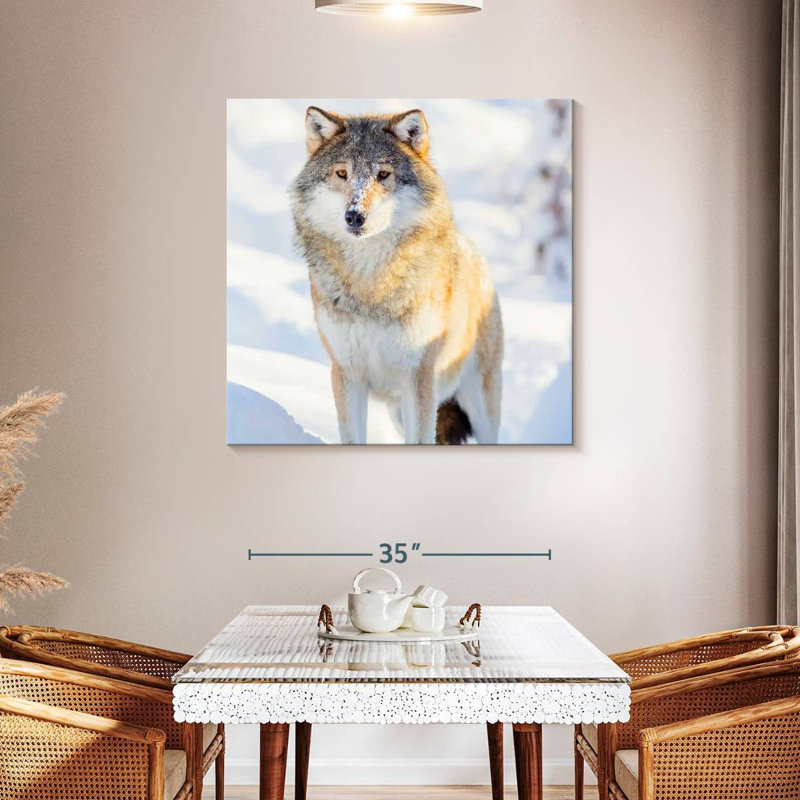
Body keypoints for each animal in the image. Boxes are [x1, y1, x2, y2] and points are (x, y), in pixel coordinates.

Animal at [291, 106, 503, 445]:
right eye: (342, 174)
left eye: (382, 175)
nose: (354, 215)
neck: (370, 282)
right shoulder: (347, 374)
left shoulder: (418, 378)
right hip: (398, 412)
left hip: (477, 407)